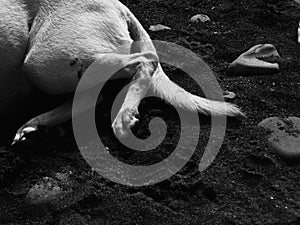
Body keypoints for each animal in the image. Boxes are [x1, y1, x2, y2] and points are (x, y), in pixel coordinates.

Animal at [0, 0, 244, 146]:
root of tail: (117, 2)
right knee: (93, 96)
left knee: (145, 60)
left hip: (41, 61)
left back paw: (123, 117)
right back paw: (35, 125)